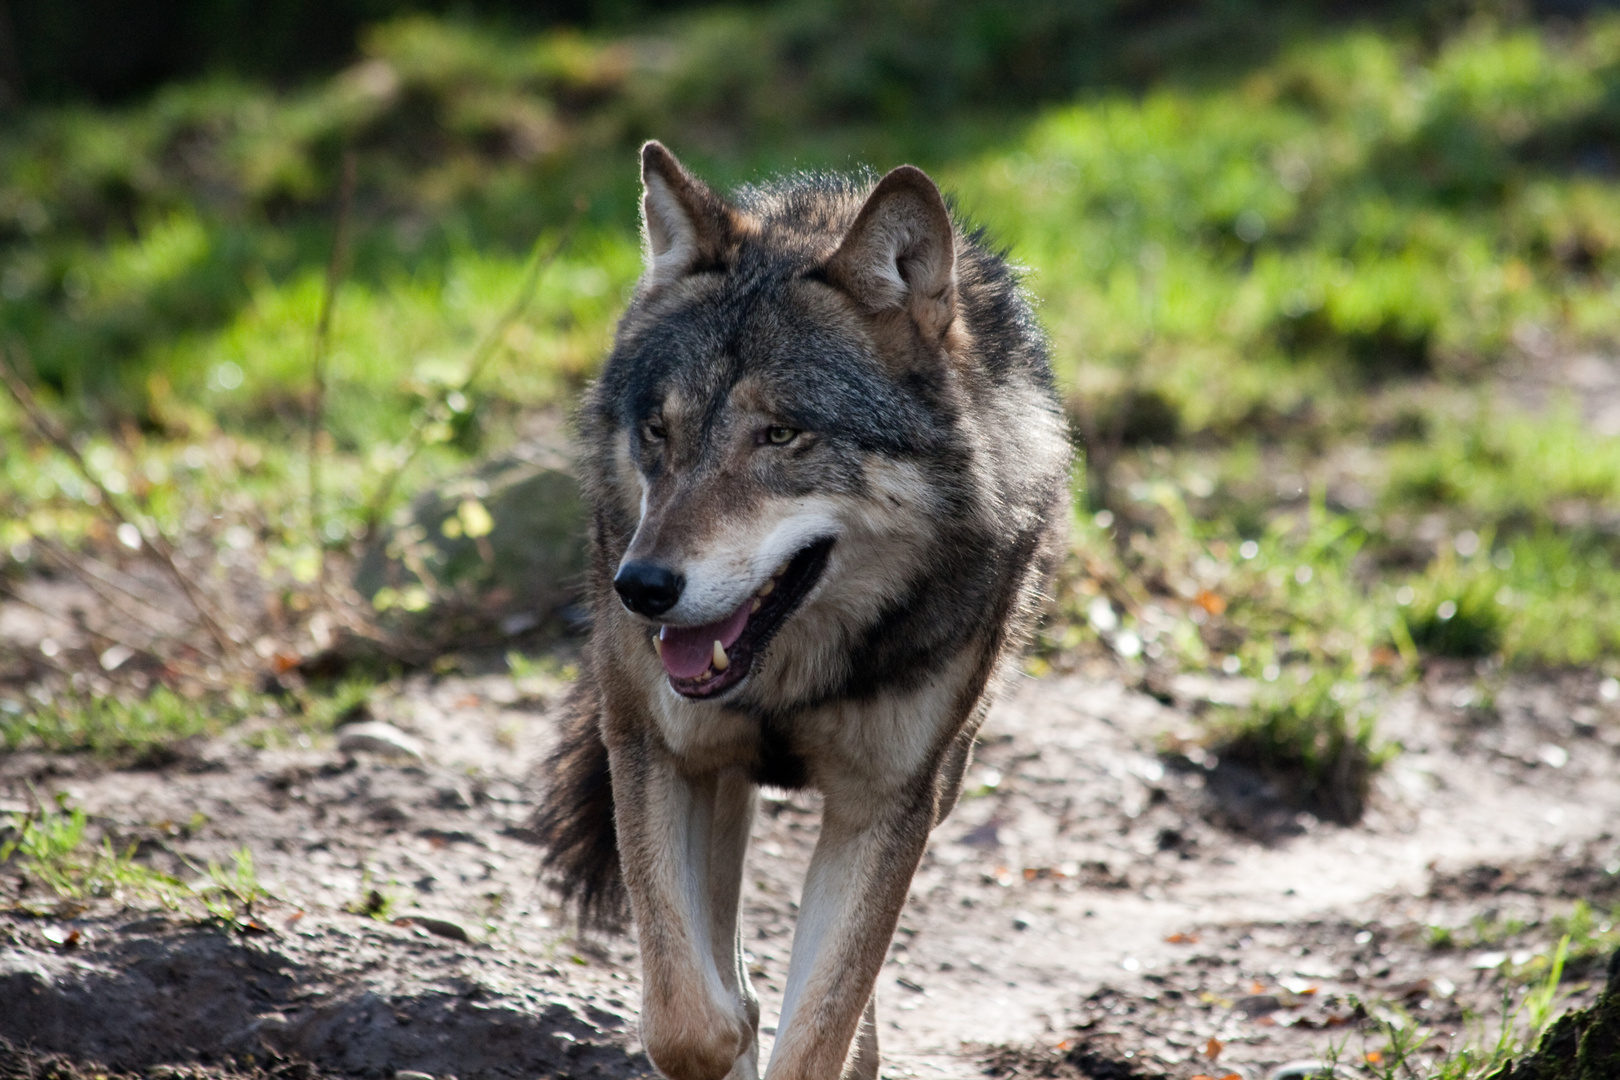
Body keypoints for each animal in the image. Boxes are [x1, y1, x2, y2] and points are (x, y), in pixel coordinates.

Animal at [534, 143, 1075, 1080]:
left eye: (781, 435)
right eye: (658, 432)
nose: (641, 588)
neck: (791, 676)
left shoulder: (890, 804)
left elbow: (821, 1029)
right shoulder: (655, 747)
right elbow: (691, 1021)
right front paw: (727, 1026)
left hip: (940, 782)